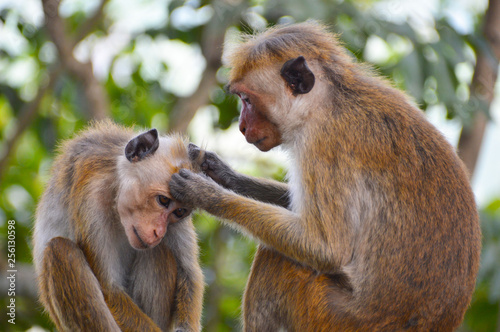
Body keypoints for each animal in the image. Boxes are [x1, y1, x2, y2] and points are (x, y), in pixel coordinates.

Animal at [32, 122, 203, 332]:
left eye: (179, 212)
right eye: (163, 200)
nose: (159, 232)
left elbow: (190, 273)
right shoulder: (91, 197)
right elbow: (110, 290)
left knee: (157, 252)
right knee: (60, 250)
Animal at [170, 22, 482, 330]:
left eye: (247, 99)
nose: (242, 127)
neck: (328, 102)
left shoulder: (323, 144)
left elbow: (325, 249)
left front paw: (205, 194)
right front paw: (220, 172)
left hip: (333, 316)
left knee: (279, 258)